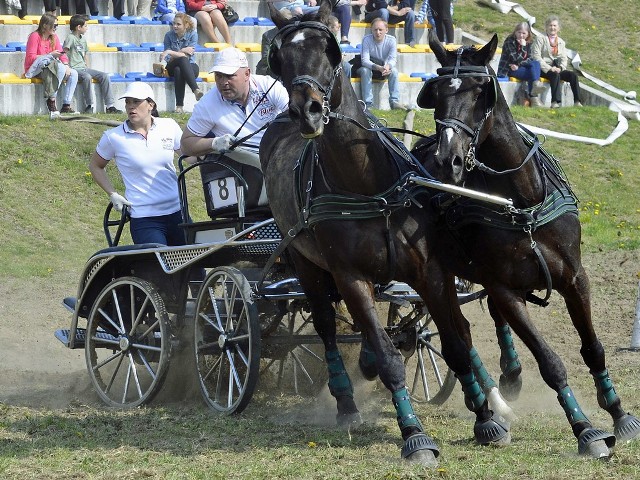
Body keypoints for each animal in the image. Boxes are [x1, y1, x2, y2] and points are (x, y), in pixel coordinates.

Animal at [258, 0, 512, 464]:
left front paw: (487, 419)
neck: (365, 182)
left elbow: (454, 342)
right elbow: (388, 356)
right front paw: (414, 434)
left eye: (330, 50)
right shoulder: (349, 277)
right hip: (305, 263)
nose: (307, 111)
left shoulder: (429, 270)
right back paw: (345, 401)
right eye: (280, 57)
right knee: (326, 326)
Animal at [410, 30, 640, 458]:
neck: (522, 199)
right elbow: (550, 362)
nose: (448, 160)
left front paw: (619, 412)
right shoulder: (505, 287)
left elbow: (593, 348)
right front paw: (585, 429)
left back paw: (508, 378)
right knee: (460, 333)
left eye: (480, 90)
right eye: (436, 93)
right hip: (439, 274)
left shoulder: (575, 278)